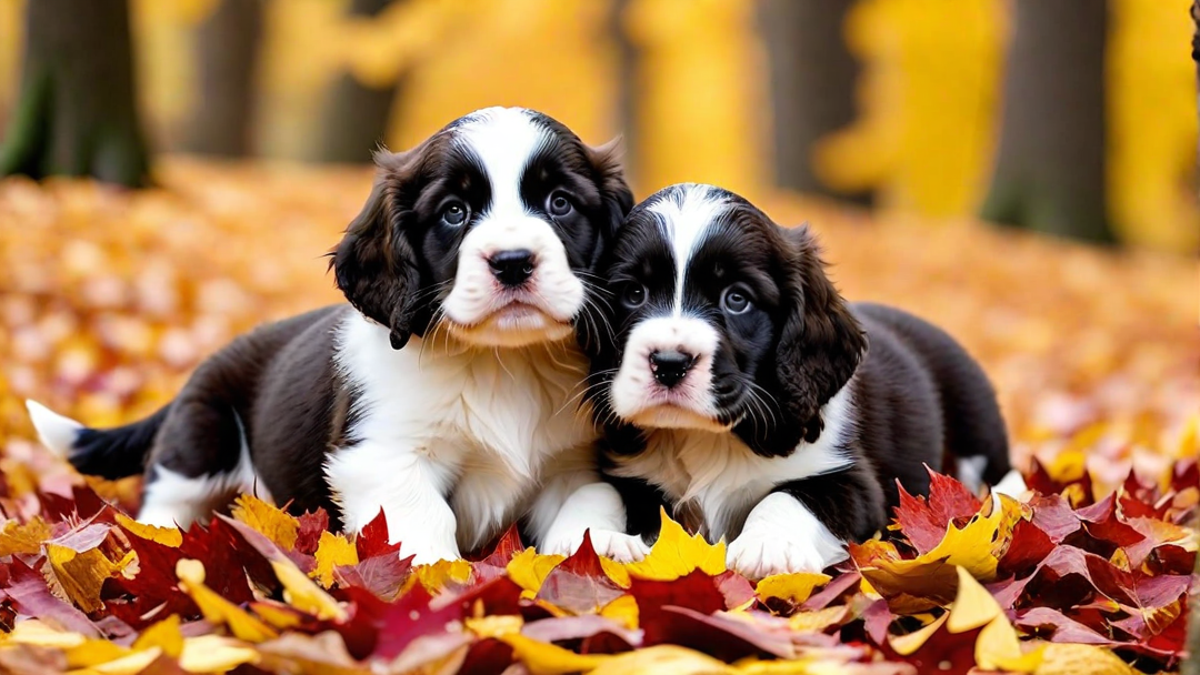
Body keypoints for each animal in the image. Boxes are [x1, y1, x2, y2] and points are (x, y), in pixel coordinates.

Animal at [23, 106, 633, 562]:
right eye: (454, 212)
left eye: (560, 203)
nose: (512, 262)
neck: (501, 363)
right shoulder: (381, 454)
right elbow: (421, 517)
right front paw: (440, 577)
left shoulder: (571, 460)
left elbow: (593, 496)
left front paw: (605, 546)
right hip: (200, 440)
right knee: (165, 506)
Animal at [576, 183, 1017, 578]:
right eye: (634, 294)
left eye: (737, 299)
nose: (669, 363)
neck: (706, 436)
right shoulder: (626, 468)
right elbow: (611, 493)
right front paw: (601, 540)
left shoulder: (852, 481)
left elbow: (789, 496)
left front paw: (768, 546)